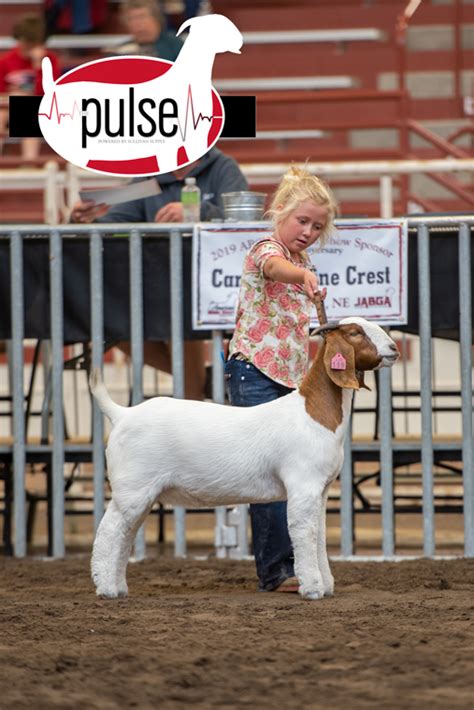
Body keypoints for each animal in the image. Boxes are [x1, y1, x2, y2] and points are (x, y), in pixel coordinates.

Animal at [90, 320, 398, 604]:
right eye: (355, 333)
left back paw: (119, 587)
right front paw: (312, 589)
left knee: (125, 535)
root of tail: (123, 414)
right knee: (109, 532)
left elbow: (318, 536)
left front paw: (326, 585)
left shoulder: (320, 491)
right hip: (132, 489)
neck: (311, 413)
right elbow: (304, 534)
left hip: (140, 494)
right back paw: (106, 588)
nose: (394, 348)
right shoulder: (303, 486)